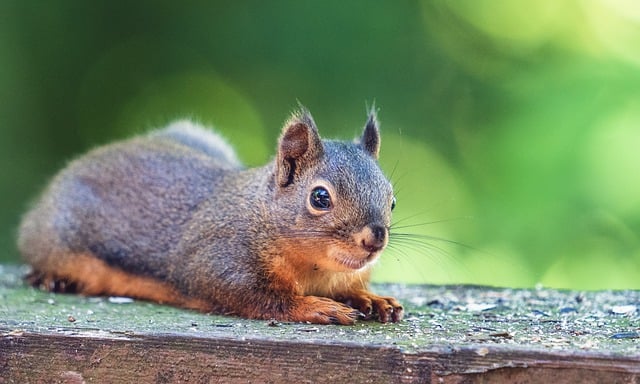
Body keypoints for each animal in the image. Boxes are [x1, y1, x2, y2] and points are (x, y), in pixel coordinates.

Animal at [17, 107, 402, 324]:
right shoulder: (218, 263)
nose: (375, 238)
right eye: (320, 198)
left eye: (392, 200)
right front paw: (318, 307)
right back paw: (52, 279)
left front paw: (372, 299)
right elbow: (263, 299)